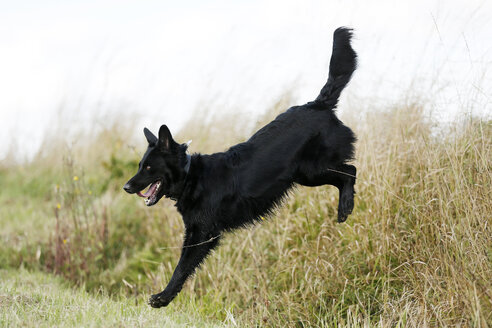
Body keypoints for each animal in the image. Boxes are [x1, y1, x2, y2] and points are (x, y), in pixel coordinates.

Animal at [124, 27, 358, 308]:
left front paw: (163, 297)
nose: (126, 186)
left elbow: (181, 267)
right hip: (305, 175)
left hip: (311, 171)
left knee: (351, 173)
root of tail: (318, 104)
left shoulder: (202, 234)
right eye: (140, 165)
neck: (191, 177)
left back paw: (346, 206)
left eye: (149, 168)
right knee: (348, 173)